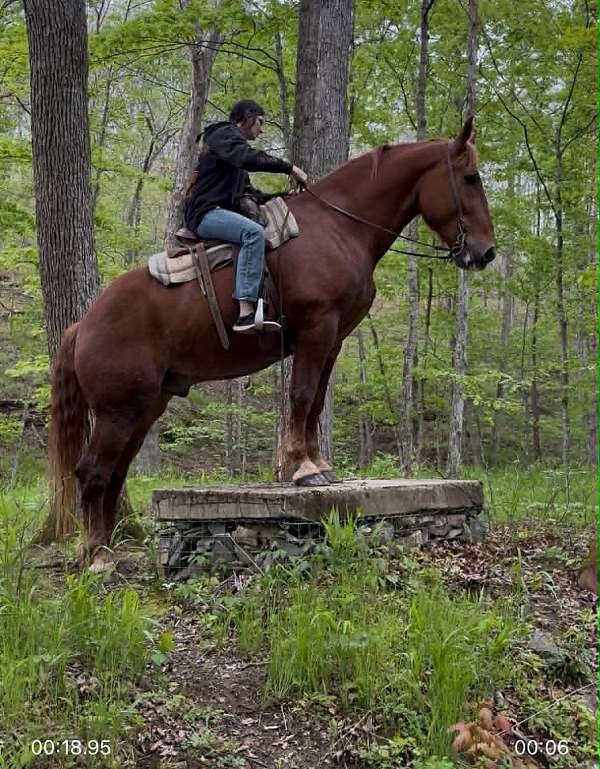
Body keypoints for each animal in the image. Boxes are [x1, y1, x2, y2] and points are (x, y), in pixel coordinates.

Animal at [49, 117, 495, 571]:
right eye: (470, 178)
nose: (486, 253)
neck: (340, 227)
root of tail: (84, 325)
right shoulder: (316, 330)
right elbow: (302, 395)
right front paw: (302, 469)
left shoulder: (332, 340)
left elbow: (315, 402)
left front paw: (319, 465)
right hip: (118, 411)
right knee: (92, 473)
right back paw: (97, 555)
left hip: (144, 407)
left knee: (113, 473)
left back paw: (103, 549)